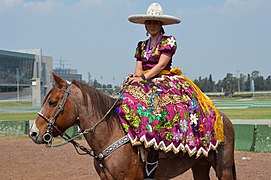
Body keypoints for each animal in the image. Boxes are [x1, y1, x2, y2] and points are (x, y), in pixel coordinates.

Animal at [29, 73, 236, 180]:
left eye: (53, 102)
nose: (33, 133)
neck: (110, 134)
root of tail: (223, 119)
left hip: (224, 169)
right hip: (200, 166)